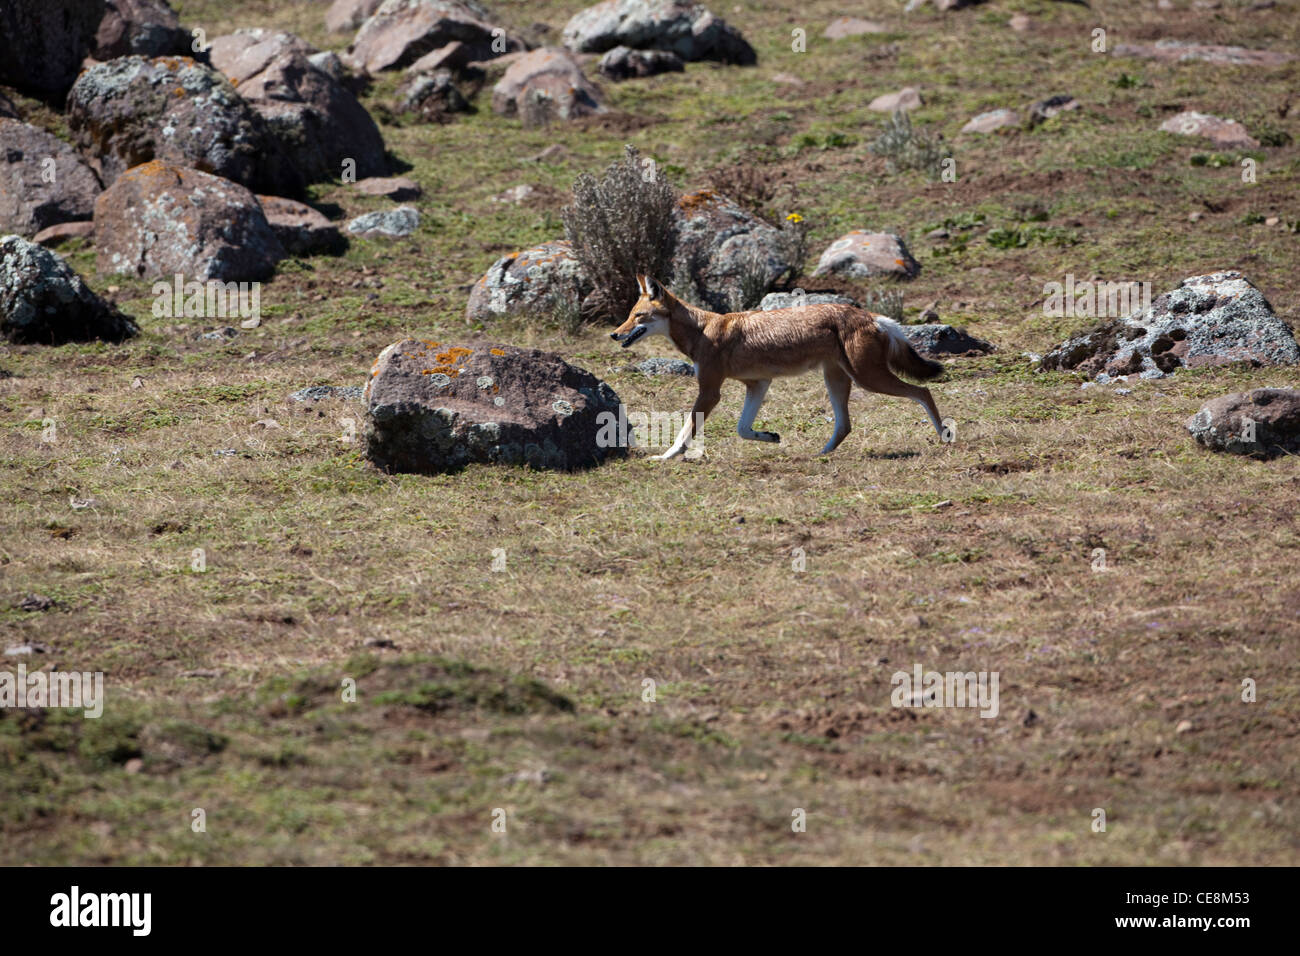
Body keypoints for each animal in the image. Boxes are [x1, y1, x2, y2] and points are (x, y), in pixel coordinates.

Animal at [608, 277, 946, 460]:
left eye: (638, 316)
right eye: (629, 315)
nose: (613, 334)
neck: (701, 330)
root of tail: (873, 316)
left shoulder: (711, 391)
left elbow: (684, 433)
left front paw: (665, 457)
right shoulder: (758, 384)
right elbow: (742, 429)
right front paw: (770, 436)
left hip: (869, 379)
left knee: (924, 391)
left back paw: (945, 435)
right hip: (838, 380)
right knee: (845, 425)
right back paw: (819, 454)